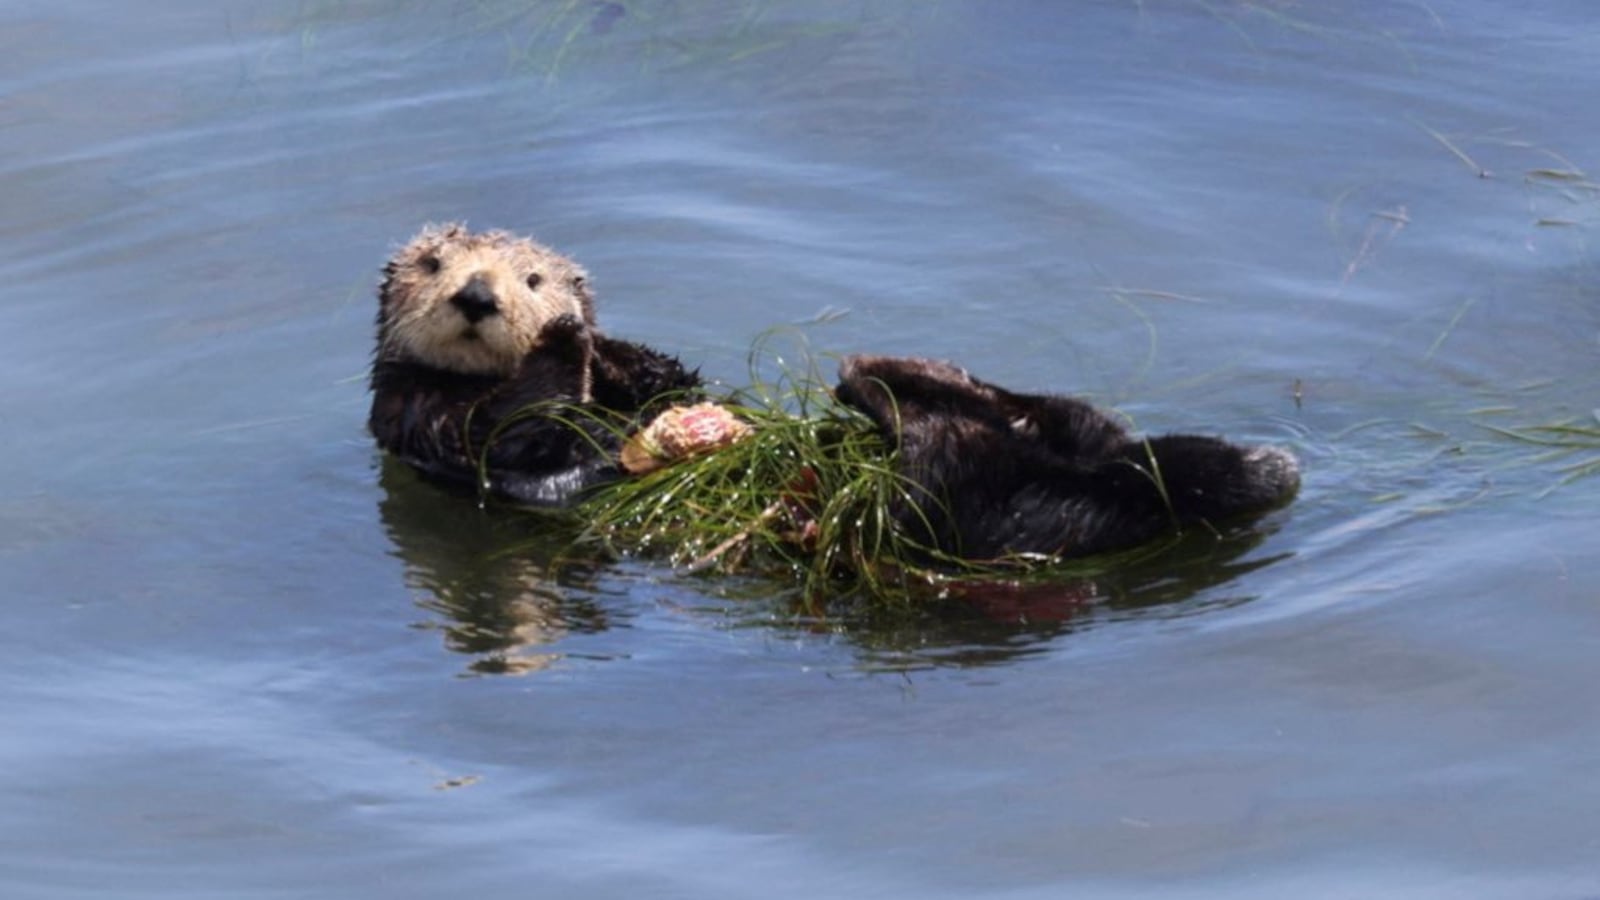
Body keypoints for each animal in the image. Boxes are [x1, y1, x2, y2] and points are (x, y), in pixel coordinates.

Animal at [368, 223, 700, 505]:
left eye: (533, 280)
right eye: (432, 264)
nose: (477, 296)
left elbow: (674, 384)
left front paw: (598, 347)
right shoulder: (415, 413)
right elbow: (496, 430)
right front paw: (564, 333)